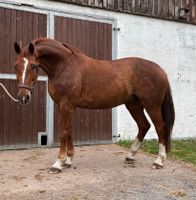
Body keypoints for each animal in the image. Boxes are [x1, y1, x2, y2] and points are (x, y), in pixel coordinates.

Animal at [13, 38, 175, 173]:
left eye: (33, 65)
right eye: (15, 66)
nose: (23, 97)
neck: (64, 66)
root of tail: (161, 71)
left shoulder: (67, 105)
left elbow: (64, 132)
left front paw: (58, 163)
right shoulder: (63, 106)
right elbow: (69, 130)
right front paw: (68, 160)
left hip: (152, 105)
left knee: (160, 127)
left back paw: (158, 161)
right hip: (133, 105)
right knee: (144, 126)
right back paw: (130, 156)